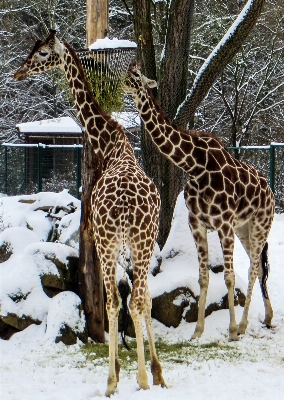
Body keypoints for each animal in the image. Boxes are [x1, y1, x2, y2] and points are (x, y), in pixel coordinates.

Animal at [14, 30, 166, 394]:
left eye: (42, 53)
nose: (18, 72)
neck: (111, 144)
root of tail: (125, 207)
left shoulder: (108, 240)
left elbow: (129, 301)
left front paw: (137, 372)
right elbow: (139, 300)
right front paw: (152, 371)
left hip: (119, 243)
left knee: (121, 301)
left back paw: (121, 379)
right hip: (132, 244)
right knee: (132, 300)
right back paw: (138, 376)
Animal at [124, 64, 276, 342]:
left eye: (137, 75)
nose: (122, 82)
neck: (194, 165)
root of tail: (270, 191)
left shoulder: (224, 224)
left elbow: (229, 277)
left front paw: (231, 331)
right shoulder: (197, 223)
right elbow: (203, 278)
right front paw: (197, 331)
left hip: (261, 224)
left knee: (252, 269)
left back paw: (243, 325)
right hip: (245, 228)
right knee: (259, 266)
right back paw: (266, 318)